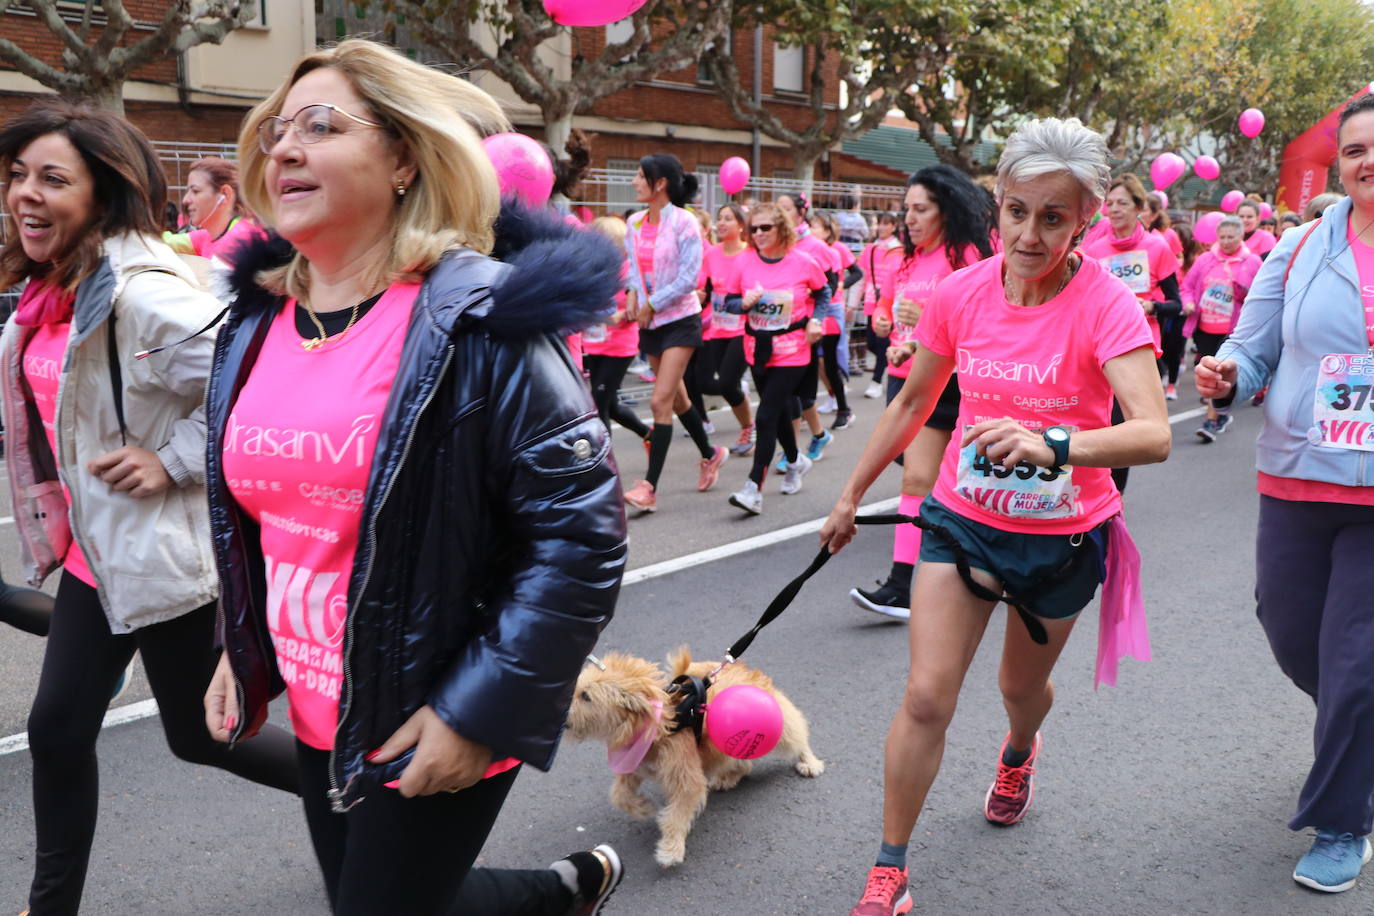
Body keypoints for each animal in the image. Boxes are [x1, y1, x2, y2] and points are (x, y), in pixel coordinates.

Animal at [563, 645, 818, 867]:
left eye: (586, 696)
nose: (560, 713)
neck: (655, 728)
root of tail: (738, 666)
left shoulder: (686, 781)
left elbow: (675, 816)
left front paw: (670, 849)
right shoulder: (634, 768)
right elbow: (619, 795)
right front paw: (644, 808)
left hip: (780, 725)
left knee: (797, 733)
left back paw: (810, 762)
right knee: (743, 764)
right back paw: (729, 777)